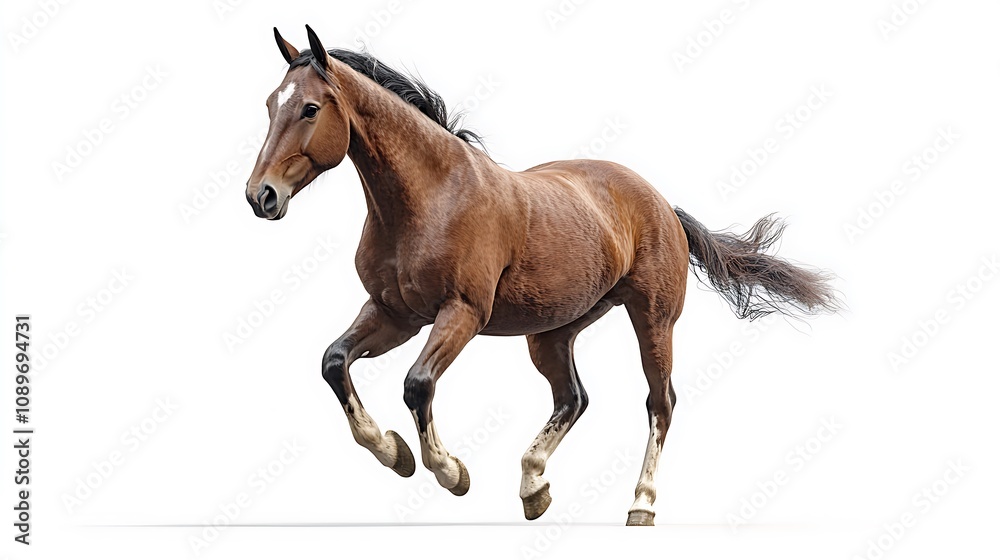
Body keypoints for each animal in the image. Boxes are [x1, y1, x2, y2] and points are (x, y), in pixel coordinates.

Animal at [245, 25, 838, 526]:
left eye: (310, 108)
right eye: (271, 104)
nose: (260, 196)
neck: (430, 197)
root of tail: (662, 204)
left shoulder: (460, 313)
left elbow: (417, 384)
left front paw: (450, 472)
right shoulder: (395, 314)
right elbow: (334, 362)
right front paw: (394, 452)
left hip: (653, 320)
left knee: (659, 402)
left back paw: (640, 505)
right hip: (551, 332)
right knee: (573, 398)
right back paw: (534, 487)